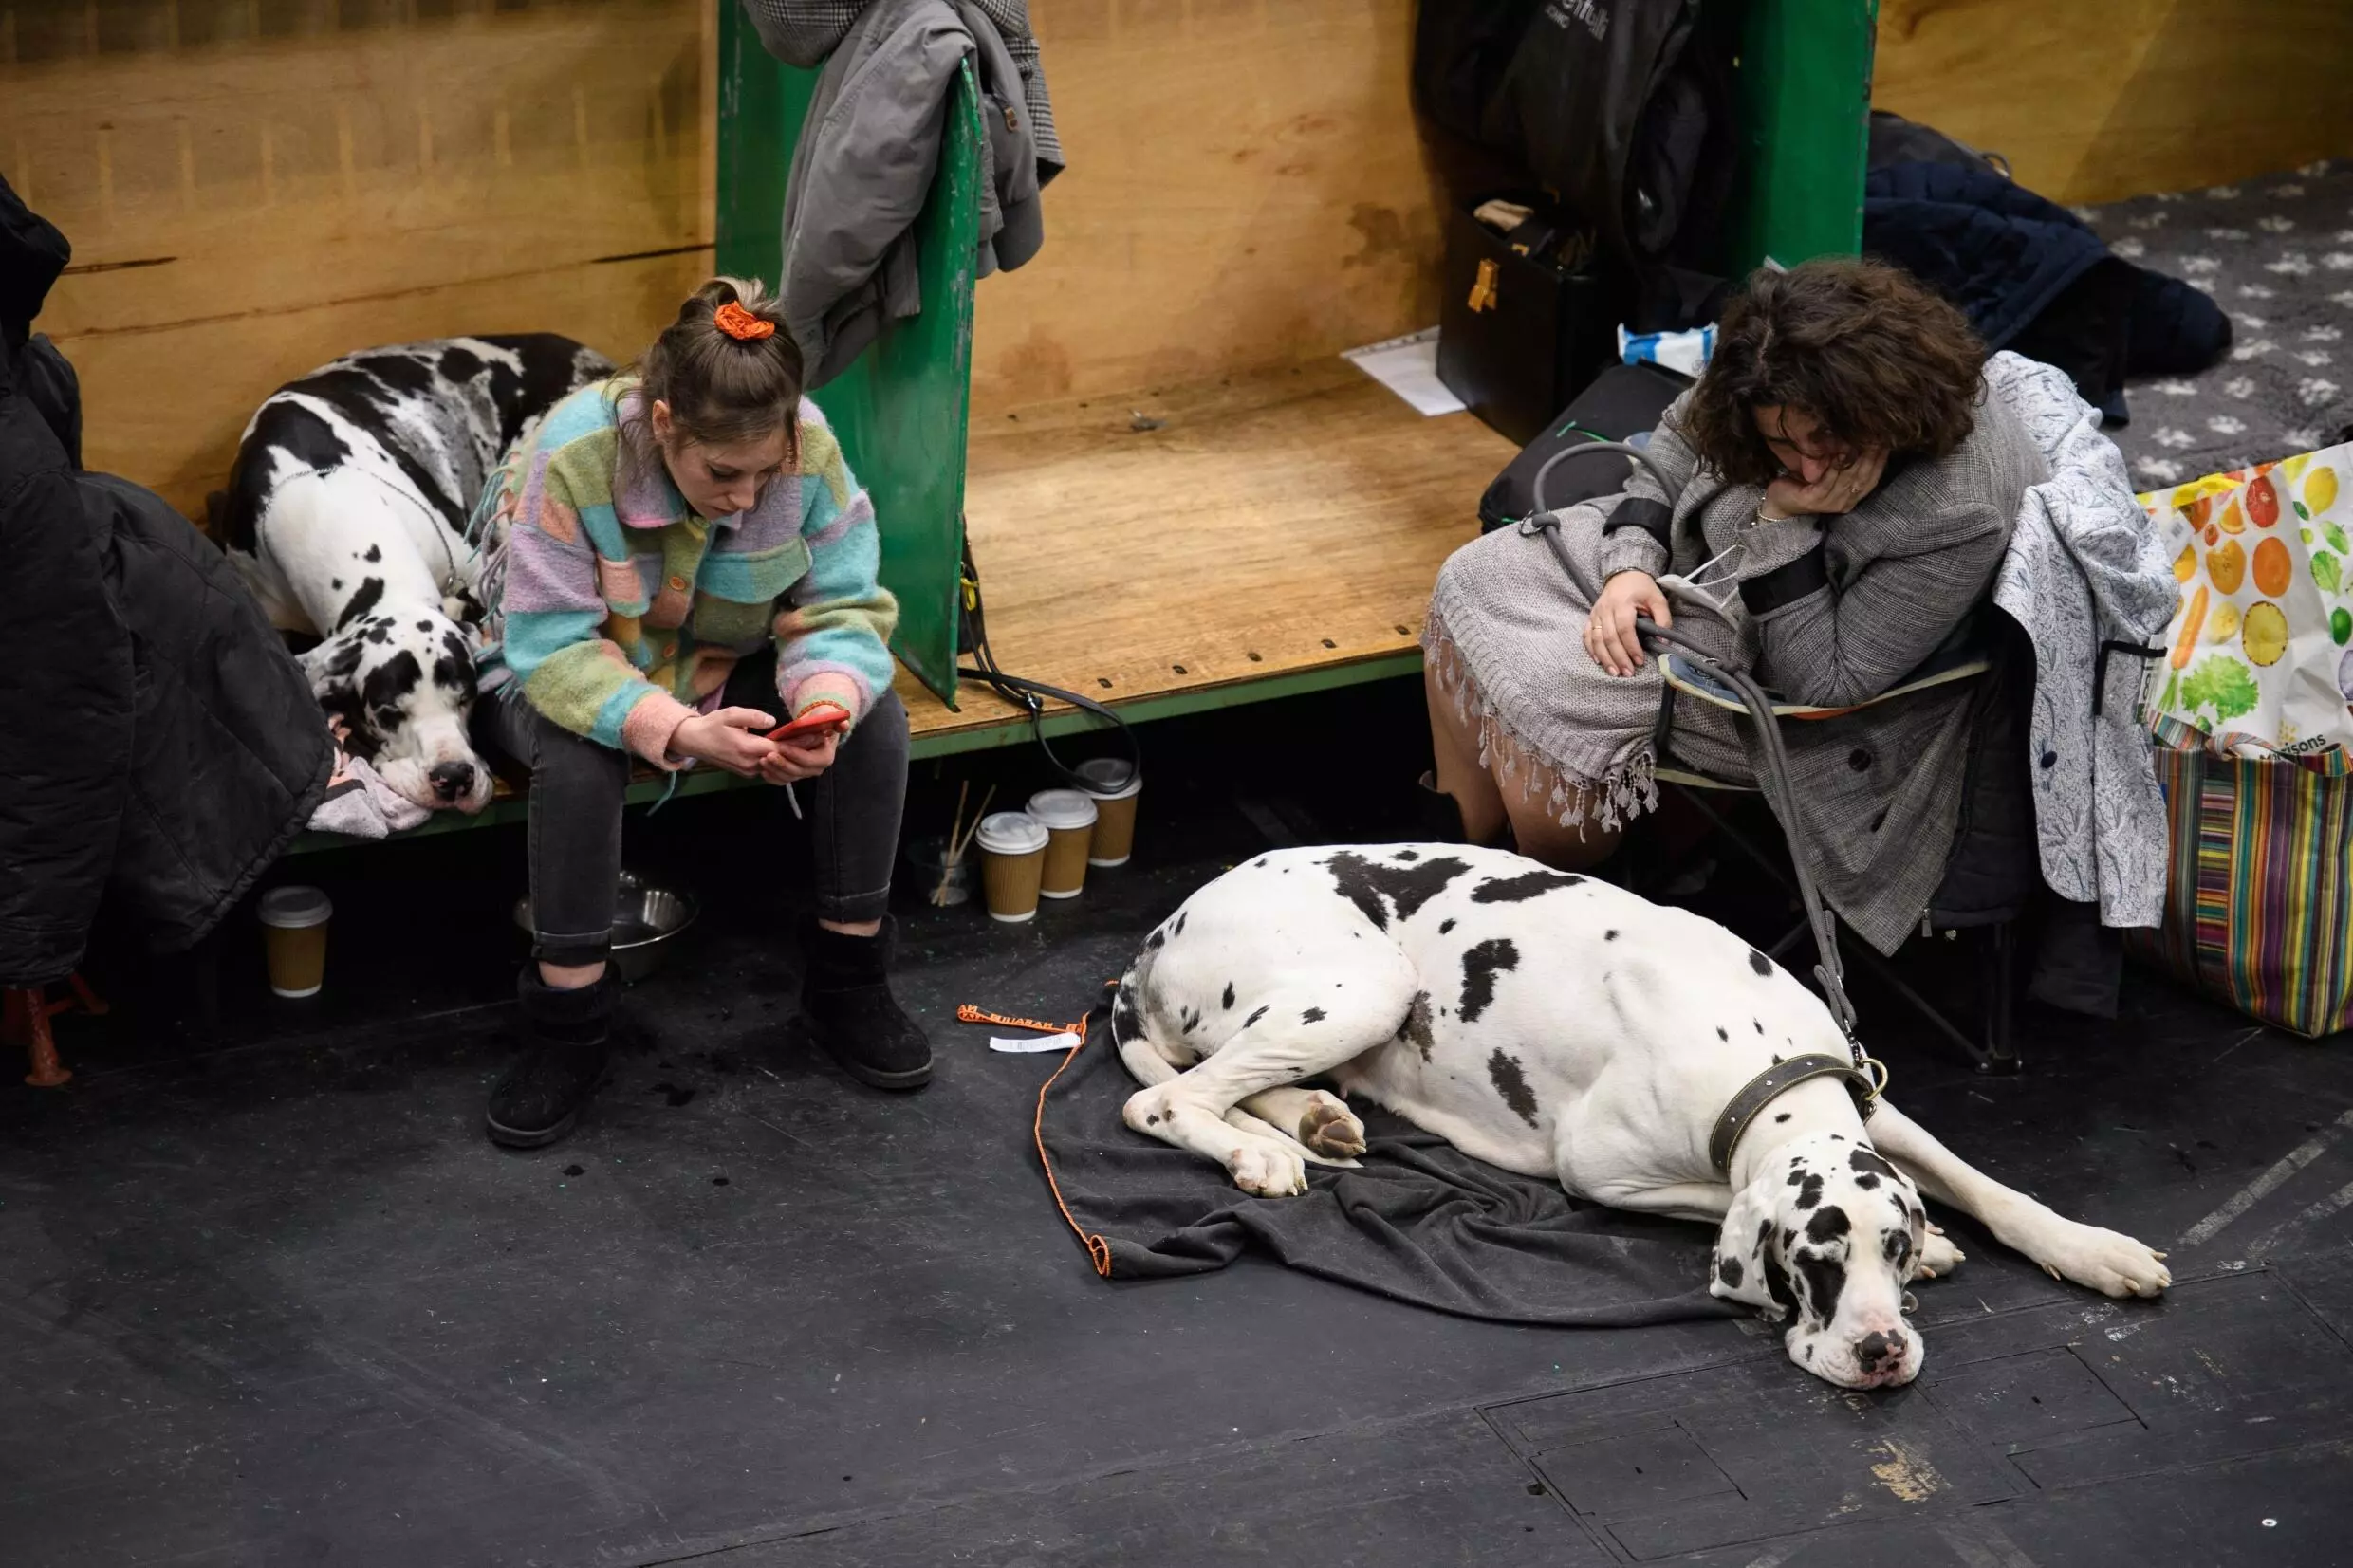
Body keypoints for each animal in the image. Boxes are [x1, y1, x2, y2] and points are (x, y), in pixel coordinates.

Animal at [1120, 851, 2164, 1392]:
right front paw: (1950, 1243)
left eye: (1890, 1252)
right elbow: (1716, 1195)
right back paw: (1258, 1153)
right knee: (1164, 1098)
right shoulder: (1601, 1171)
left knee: (1227, 1081)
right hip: (1364, 985)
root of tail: (1160, 926)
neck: (1755, 1056)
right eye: (1813, 1263)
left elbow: (1993, 1188)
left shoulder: (1871, 1094)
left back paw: (1311, 1120)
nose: (1881, 1350)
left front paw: (2088, 1248)